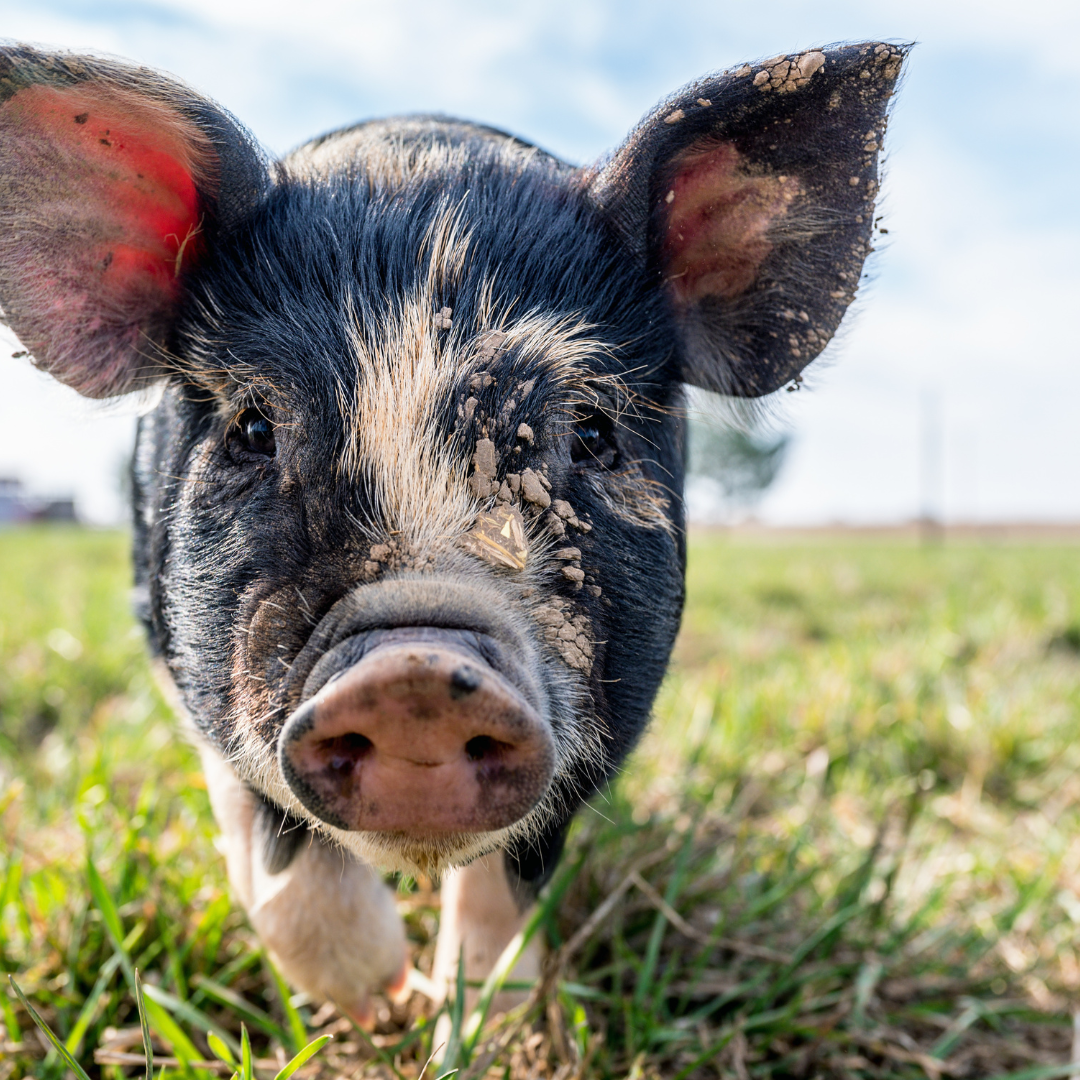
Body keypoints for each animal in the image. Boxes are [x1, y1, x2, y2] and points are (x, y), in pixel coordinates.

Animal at [0, 41, 905, 1024]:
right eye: (252, 425)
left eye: (592, 432)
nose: (416, 675)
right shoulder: (184, 661)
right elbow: (274, 862)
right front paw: (381, 1000)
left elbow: (507, 896)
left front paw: (468, 1018)